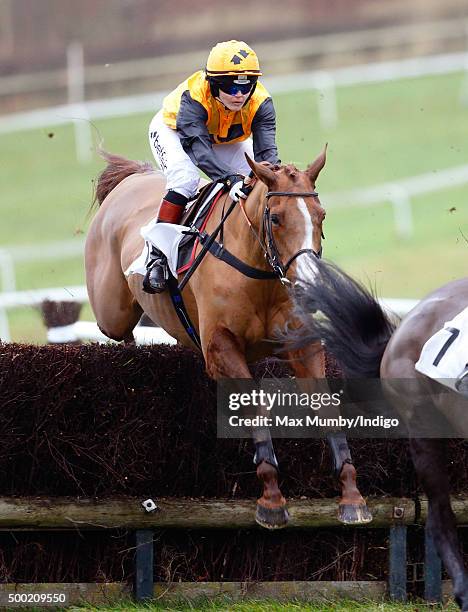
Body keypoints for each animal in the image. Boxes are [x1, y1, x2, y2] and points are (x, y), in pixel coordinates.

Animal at [83, 147, 370, 524]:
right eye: (275, 218)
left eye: (321, 215)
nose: (310, 283)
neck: (260, 272)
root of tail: (131, 178)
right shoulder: (221, 350)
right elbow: (256, 407)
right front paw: (272, 499)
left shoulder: (302, 345)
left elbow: (327, 409)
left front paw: (351, 496)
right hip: (111, 312)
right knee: (116, 329)